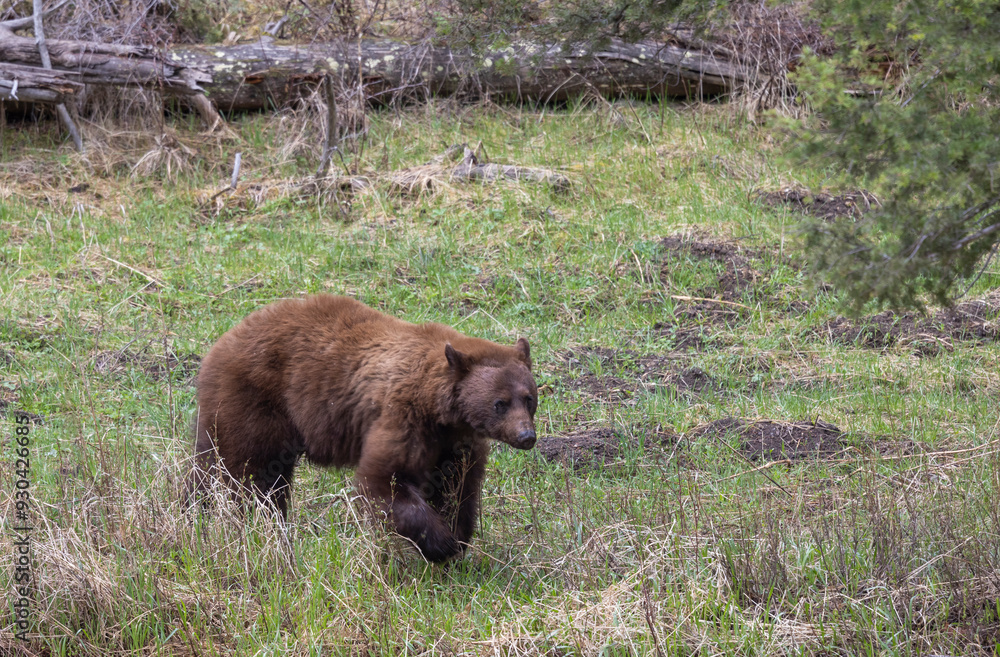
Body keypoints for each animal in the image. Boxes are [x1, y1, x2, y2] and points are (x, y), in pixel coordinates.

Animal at [188, 294, 538, 562]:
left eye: (529, 398)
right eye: (500, 403)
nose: (527, 436)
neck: (440, 409)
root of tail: (222, 342)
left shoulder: (454, 443)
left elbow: (458, 486)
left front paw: (457, 534)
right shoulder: (403, 417)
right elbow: (385, 478)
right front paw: (440, 542)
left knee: (209, 468)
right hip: (254, 402)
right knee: (249, 474)